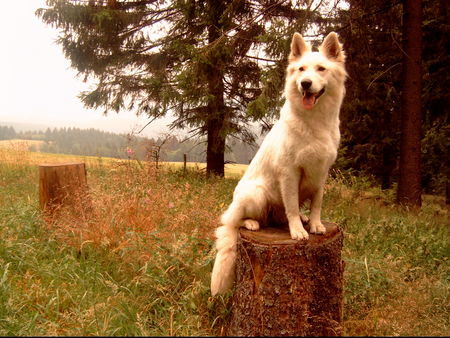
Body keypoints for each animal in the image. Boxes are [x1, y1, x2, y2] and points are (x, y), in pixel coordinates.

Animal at [211, 31, 348, 296]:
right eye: (301, 69)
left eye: (321, 69)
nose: (305, 83)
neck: (314, 121)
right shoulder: (290, 173)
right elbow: (292, 206)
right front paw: (297, 231)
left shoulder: (321, 172)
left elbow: (316, 204)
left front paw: (314, 224)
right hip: (255, 194)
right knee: (237, 220)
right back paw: (252, 222)